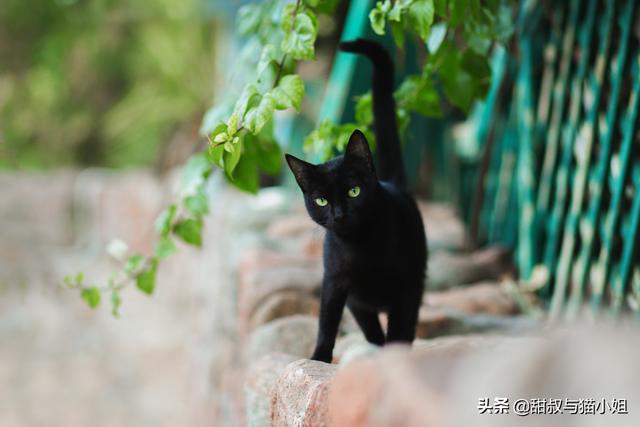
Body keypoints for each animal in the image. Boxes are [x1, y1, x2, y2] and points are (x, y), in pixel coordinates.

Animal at [284, 38, 424, 362]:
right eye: (322, 201)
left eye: (354, 191)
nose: (339, 213)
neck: (361, 247)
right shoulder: (334, 282)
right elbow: (326, 322)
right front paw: (319, 358)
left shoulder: (405, 289)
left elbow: (400, 328)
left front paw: (395, 361)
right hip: (359, 303)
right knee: (370, 327)